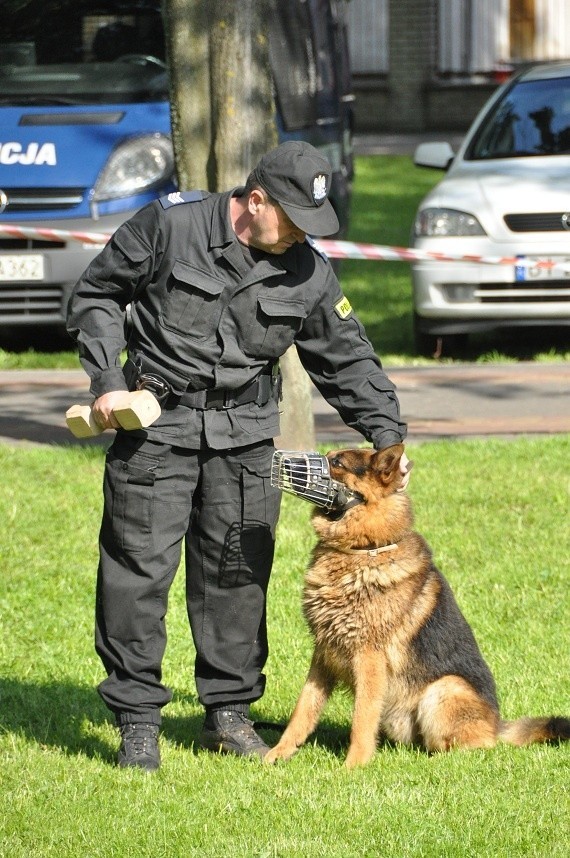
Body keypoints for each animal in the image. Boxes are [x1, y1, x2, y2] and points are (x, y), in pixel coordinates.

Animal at [262, 444, 568, 764]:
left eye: (337, 463)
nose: (280, 462)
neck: (365, 549)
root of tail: (497, 726)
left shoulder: (369, 660)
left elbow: (361, 718)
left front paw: (353, 766)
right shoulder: (323, 654)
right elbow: (303, 709)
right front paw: (278, 753)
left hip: (445, 688)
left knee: (472, 747)